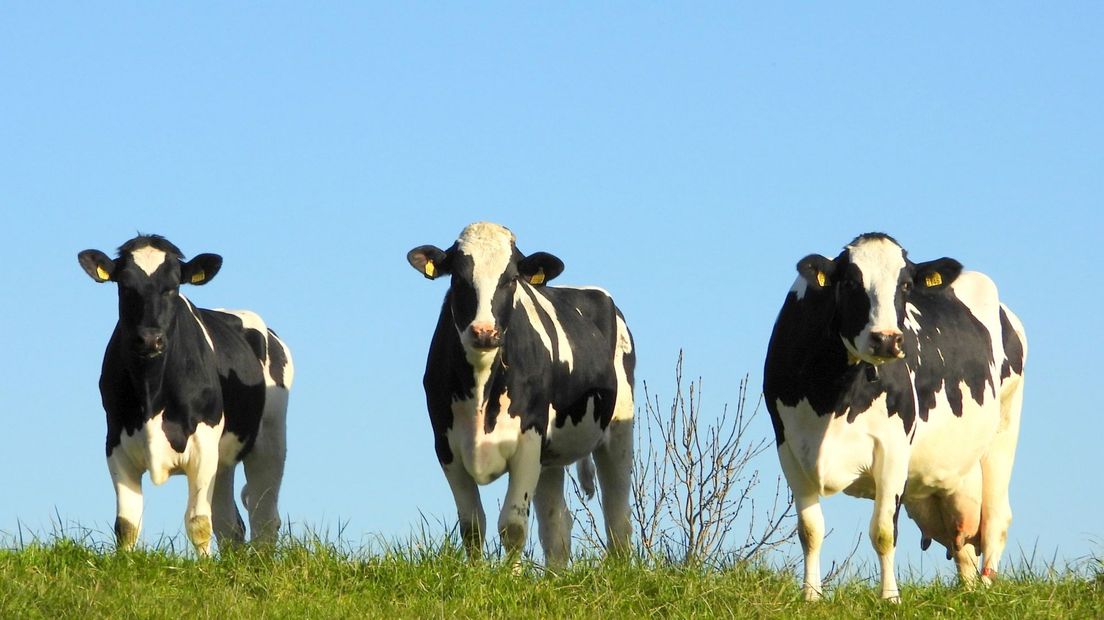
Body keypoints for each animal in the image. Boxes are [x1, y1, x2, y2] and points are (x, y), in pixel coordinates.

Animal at [78, 233, 293, 551]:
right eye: (125, 287)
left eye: (173, 287)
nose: (149, 339)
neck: (151, 391)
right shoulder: (115, 442)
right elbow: (127, 525)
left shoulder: (202, 446)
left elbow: (199, 523)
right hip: (223, 460)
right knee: (230, 524)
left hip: (269, 440)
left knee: (263, 518)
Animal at [408, 222, 635, 564]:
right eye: (459, 278)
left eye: (511, 278)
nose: (484, 332)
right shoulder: (446, 446)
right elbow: (472, 526)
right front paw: (475, 573)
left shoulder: (528, 438)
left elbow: (513, 526)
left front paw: (509, 575)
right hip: (550, 457)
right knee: (557, 525)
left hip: (619, 431)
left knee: (617, 517)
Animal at [763, 231, 1028, 600]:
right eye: (850, 281)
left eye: (904, 285)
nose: (887, 340)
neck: (832, 397)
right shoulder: (788, 445)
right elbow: (810, 530)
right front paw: (811, 596)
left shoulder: (892, 446)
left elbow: (884, 531)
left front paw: (890, 598)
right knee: (961, 540)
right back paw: (968, 592)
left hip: (1004, 429)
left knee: (996, 520)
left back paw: (987, 591)